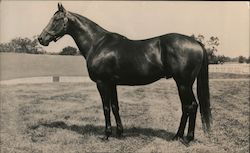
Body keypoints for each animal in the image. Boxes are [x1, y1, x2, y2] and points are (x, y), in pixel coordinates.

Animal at [38, 3, 211, 145]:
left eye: (56, 19)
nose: (41, 38)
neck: (98, 43)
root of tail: (196, 43)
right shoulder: (112, 83)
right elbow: (115, 107)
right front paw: (120, 133)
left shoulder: (102, 83)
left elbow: (106, 108)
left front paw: (106, 135)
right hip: (182, 84)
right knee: (186, 107)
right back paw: (177, 136)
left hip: (183, 83)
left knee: (192, 106)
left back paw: (187, 138)